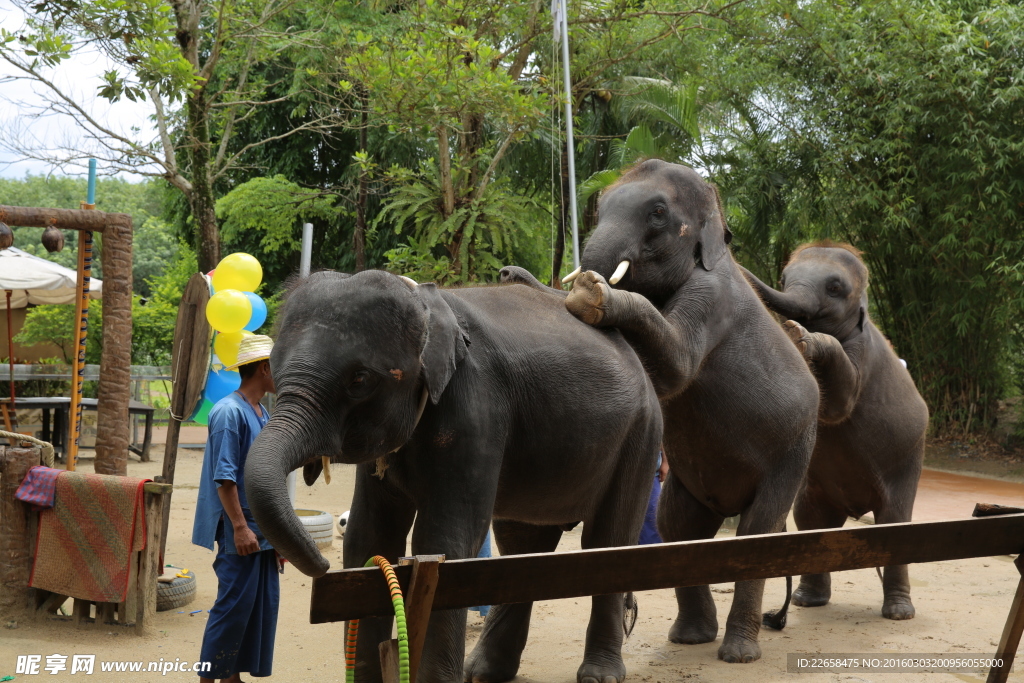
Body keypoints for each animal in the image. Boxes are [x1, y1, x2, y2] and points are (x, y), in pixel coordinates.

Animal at [561, 158, 815, 663]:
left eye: (658, 213)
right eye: (600, 205)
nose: (585, 275)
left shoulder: (714, 296)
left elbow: (677, 366)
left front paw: (593, 297)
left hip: (795, 450)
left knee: (756, 533)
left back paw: (738, 652)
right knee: (677, 525)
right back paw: (691, 637)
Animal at [741, 241, 933, 618]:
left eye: (834, 287)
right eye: (783, 278)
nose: (734, 260)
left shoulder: (863, 354)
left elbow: (838, 405)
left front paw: (803, 338)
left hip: (907, 459)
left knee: (894, 522)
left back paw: (899, 611)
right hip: (817, 490)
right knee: (809, 519)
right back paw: (806, 600)